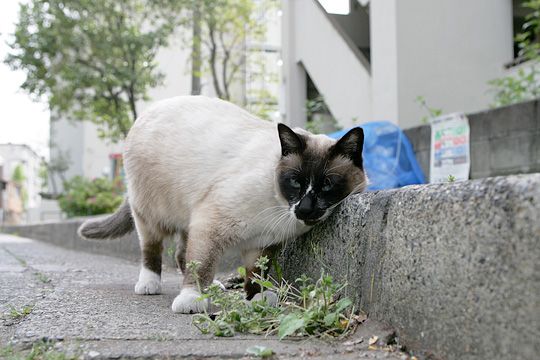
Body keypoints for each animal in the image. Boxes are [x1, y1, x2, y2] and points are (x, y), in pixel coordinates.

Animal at [79, 95, 368, 312]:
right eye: (295, 182)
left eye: (327, 185)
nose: (305, 208)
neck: (279, 208)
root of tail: (150, 109)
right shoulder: (211, 225)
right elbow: (203, 264)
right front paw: (192, 300)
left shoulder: (261, 243)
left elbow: (256, 274)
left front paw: (257, 299)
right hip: (152, 214)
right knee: (152, 249)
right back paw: (150, 285)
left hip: (188, 217)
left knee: (181, 253)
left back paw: (215, 287)